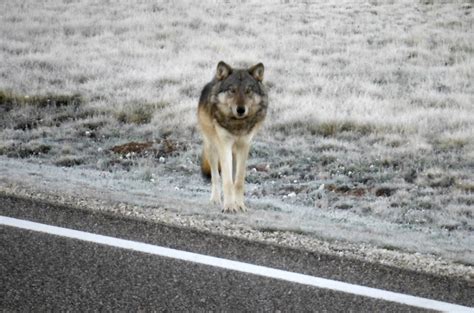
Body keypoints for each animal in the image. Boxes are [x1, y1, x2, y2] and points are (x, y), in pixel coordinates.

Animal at [197, 61, 268, 212]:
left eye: (248, 90)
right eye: (232, 90)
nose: (240, 110)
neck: (237, 124)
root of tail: (214, 79)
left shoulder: (244, 146)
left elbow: (238, 181)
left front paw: (239, 205)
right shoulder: (224, 145)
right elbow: (227, 180)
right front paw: (229, 206)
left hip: (234, 153)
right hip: (212, 148)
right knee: (216, 177)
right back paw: (215, 199)